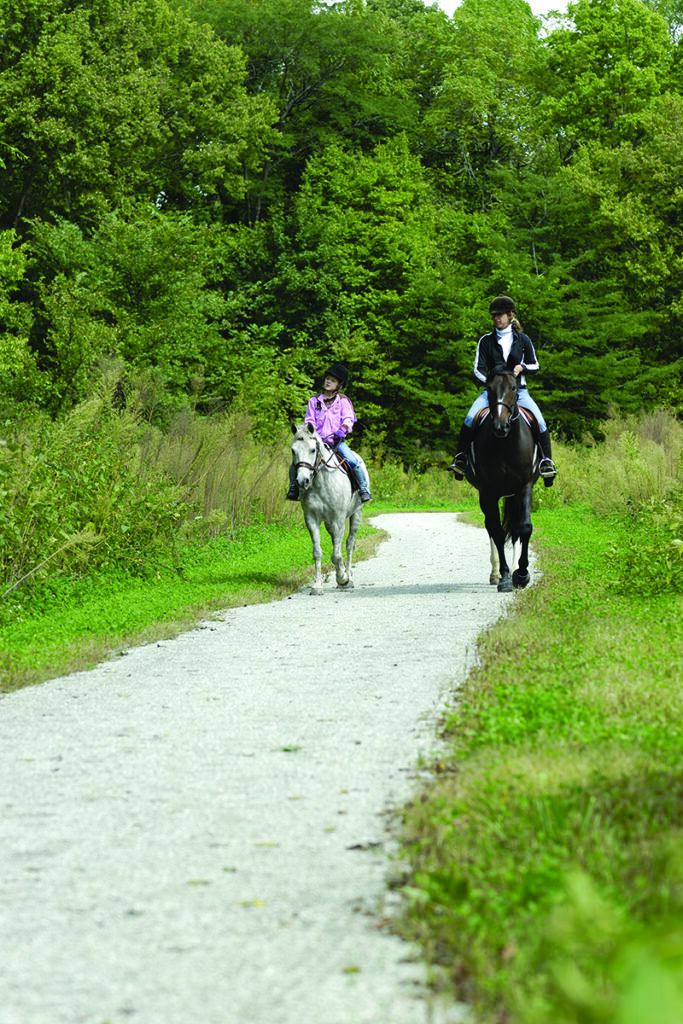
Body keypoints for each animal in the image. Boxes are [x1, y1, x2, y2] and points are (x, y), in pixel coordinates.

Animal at [290, 423, 366, 598]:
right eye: (293, 450)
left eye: (313, 450)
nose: (302, 481)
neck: (320, 481)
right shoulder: (311, 519)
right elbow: (317, 552)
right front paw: (317, 585)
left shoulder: (338, 519)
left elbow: (336, 554)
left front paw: (343, 578)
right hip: (329, 523)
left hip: (356, 514)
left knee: (349, 543)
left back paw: (348, 577)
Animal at [466, 368, 540, 593]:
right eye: (488, 388)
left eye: (514, 387)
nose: (501, 426)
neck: (506, 444)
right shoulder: (488, 493)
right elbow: (498, 532)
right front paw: (506, 577)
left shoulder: (524, 488)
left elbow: (524, 527)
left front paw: (522, 574)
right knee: (491, 526)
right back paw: (496, 573)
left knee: (514, 529)